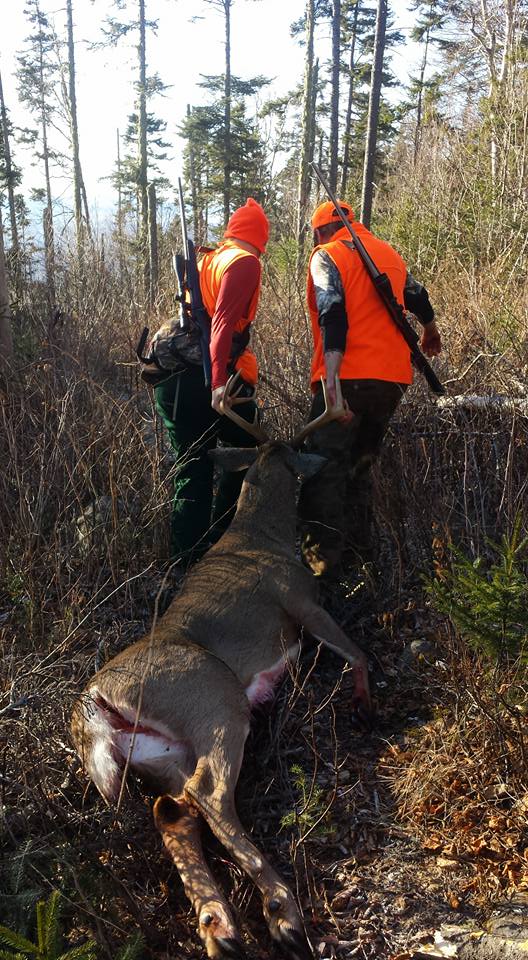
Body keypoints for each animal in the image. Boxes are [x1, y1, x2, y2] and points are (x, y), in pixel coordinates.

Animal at [71, 376, 372, 960]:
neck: (260, 534)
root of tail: (92, 701)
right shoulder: (302, 602)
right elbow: (357, 653)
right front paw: (365, 703)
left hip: (160, 752)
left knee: (172, 811)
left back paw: (220, 928)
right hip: (215, 701)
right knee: (207, 794)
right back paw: (283, 915)